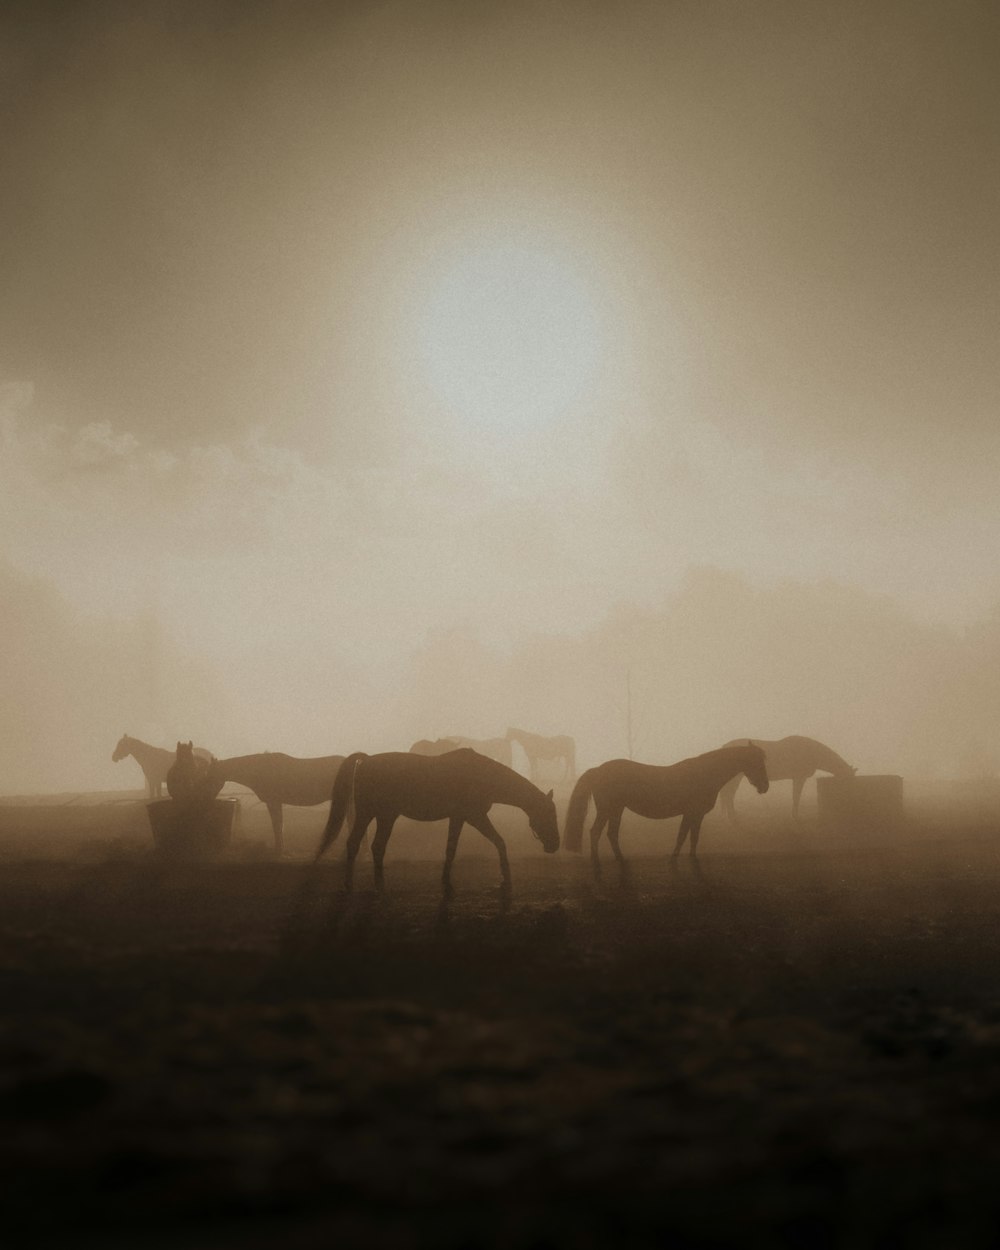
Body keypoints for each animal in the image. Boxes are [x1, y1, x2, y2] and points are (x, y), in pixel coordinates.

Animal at [206, 745, 345, 855]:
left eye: (211, 774)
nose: (207, 795)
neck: (262, 770)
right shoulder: (275, 802)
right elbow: (278, 824)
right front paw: (280, 848)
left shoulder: (273, 802)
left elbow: (277, 825)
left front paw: (278, 849)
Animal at [315, 745, 557, 895]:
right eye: (548, 815)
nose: (554, 846)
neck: (481, 775)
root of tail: (365, 761)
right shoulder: (475, 816)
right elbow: (499, 842)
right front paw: (506, 881)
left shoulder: (460, 818)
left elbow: (451, 849)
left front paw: (447, 884)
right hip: (369, 813)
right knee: (355, 844)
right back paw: (352, 885)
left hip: (386, 815)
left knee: (376, 846)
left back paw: (379, 885)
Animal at [567, 740, 770, 870]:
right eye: (757, 762)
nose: (765, 787)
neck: (705, 774)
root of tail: (598, 770)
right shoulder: (692, 813)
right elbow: (684, 837)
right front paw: (677, 859)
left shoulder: (695, 815)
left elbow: (690, 837)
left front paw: (686, 858)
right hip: (607, 809)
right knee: (596, 832)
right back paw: (596, 861)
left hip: (617, 809)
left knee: (611, 833)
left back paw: (621, 859)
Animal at [715, 730, 855, 820]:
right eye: (848, 780)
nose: (849, 798)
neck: (812, 752)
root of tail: (725, 746)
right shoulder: (799, 778)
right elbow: (796, 796)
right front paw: (795, 816)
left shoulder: (797, 778)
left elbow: (796, 796)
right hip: (736, 777)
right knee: (729, 794)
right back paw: (732, 817)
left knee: (728, 794)